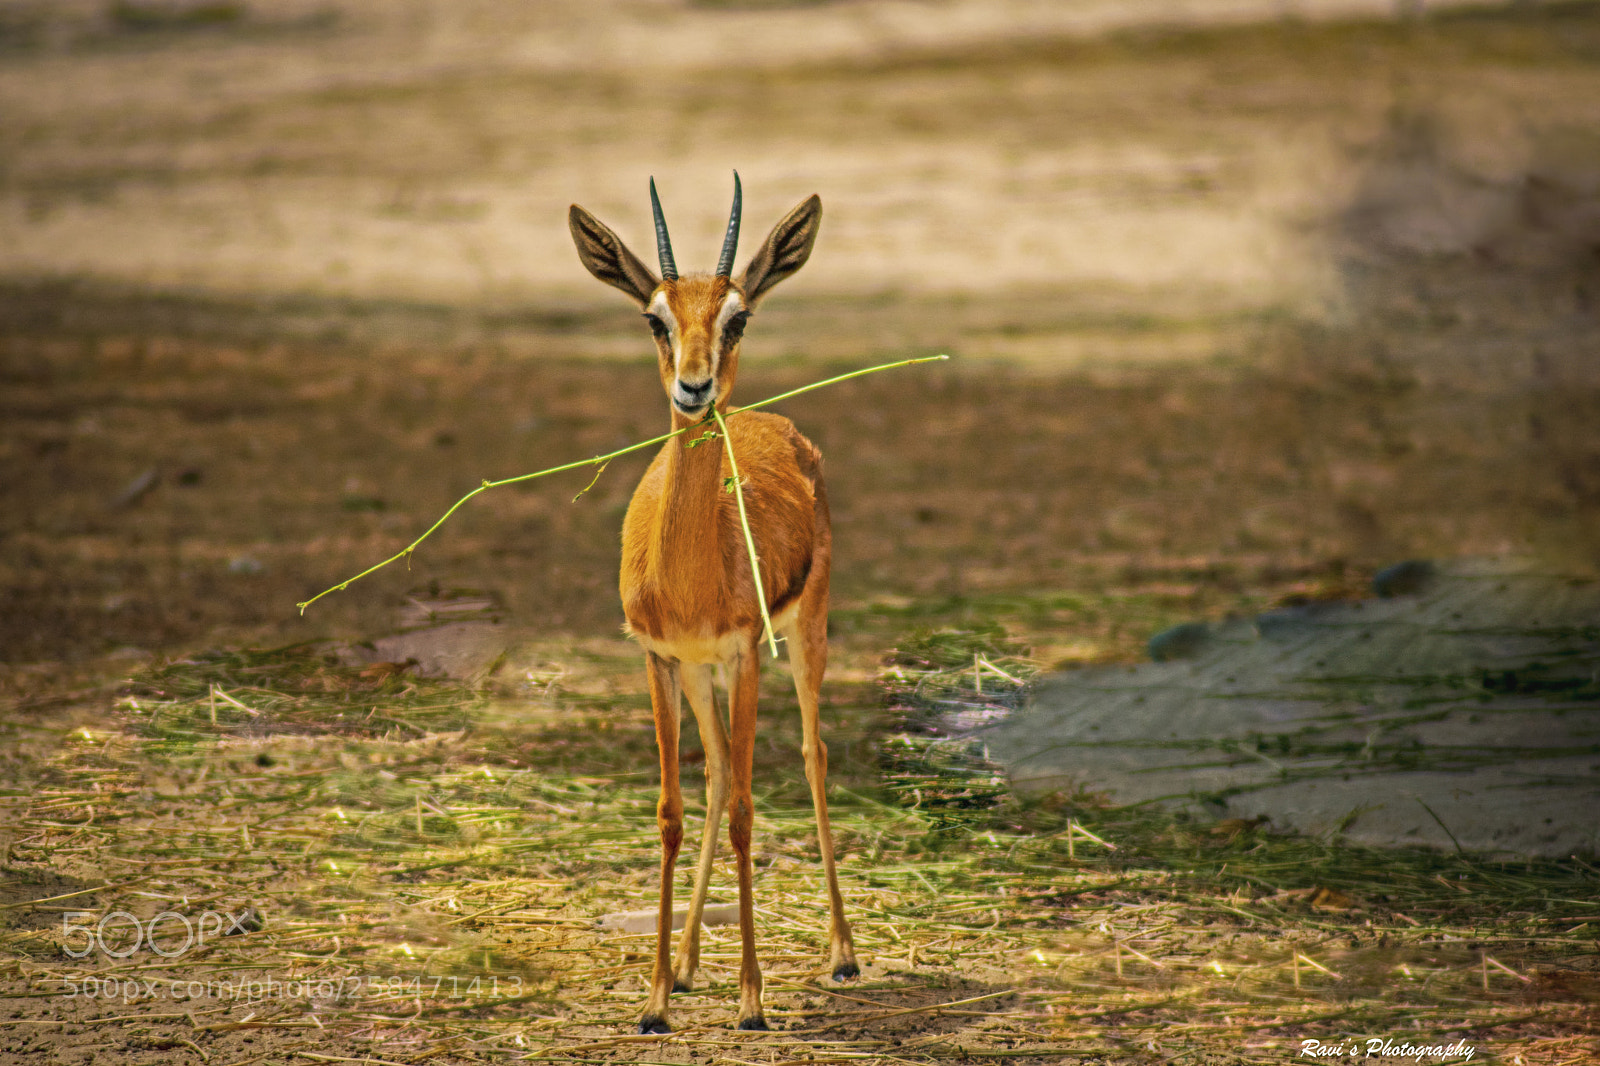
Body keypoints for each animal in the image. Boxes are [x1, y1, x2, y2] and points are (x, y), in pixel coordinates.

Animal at [567, 174, 859, 1034]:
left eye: (738, 315)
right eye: (654, 316)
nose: (693, 387)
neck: (689, 572)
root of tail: (773, 420)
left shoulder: (743, 653)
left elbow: (745, 814)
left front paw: (753, 1000)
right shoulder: (660, 658)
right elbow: (673, 809)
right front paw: (657, 998)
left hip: (804, 635)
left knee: (811, 754)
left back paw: (843, 954)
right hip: (703, 679)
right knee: (720, 771)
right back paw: (694, 961)